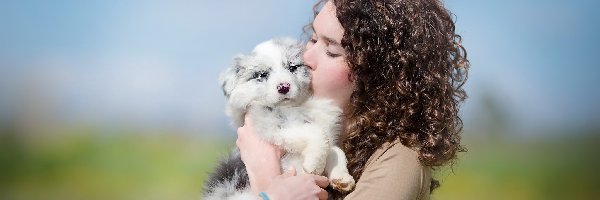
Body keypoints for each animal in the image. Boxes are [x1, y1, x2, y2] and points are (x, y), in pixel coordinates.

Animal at [202, 38, 354, 200]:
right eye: (262, 74)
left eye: (292, 67)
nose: (283, 87)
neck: (298, 106)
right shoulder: (272, 124)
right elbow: (317, 133)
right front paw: (314, 165)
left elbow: (335, 149)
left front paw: (342, 177)